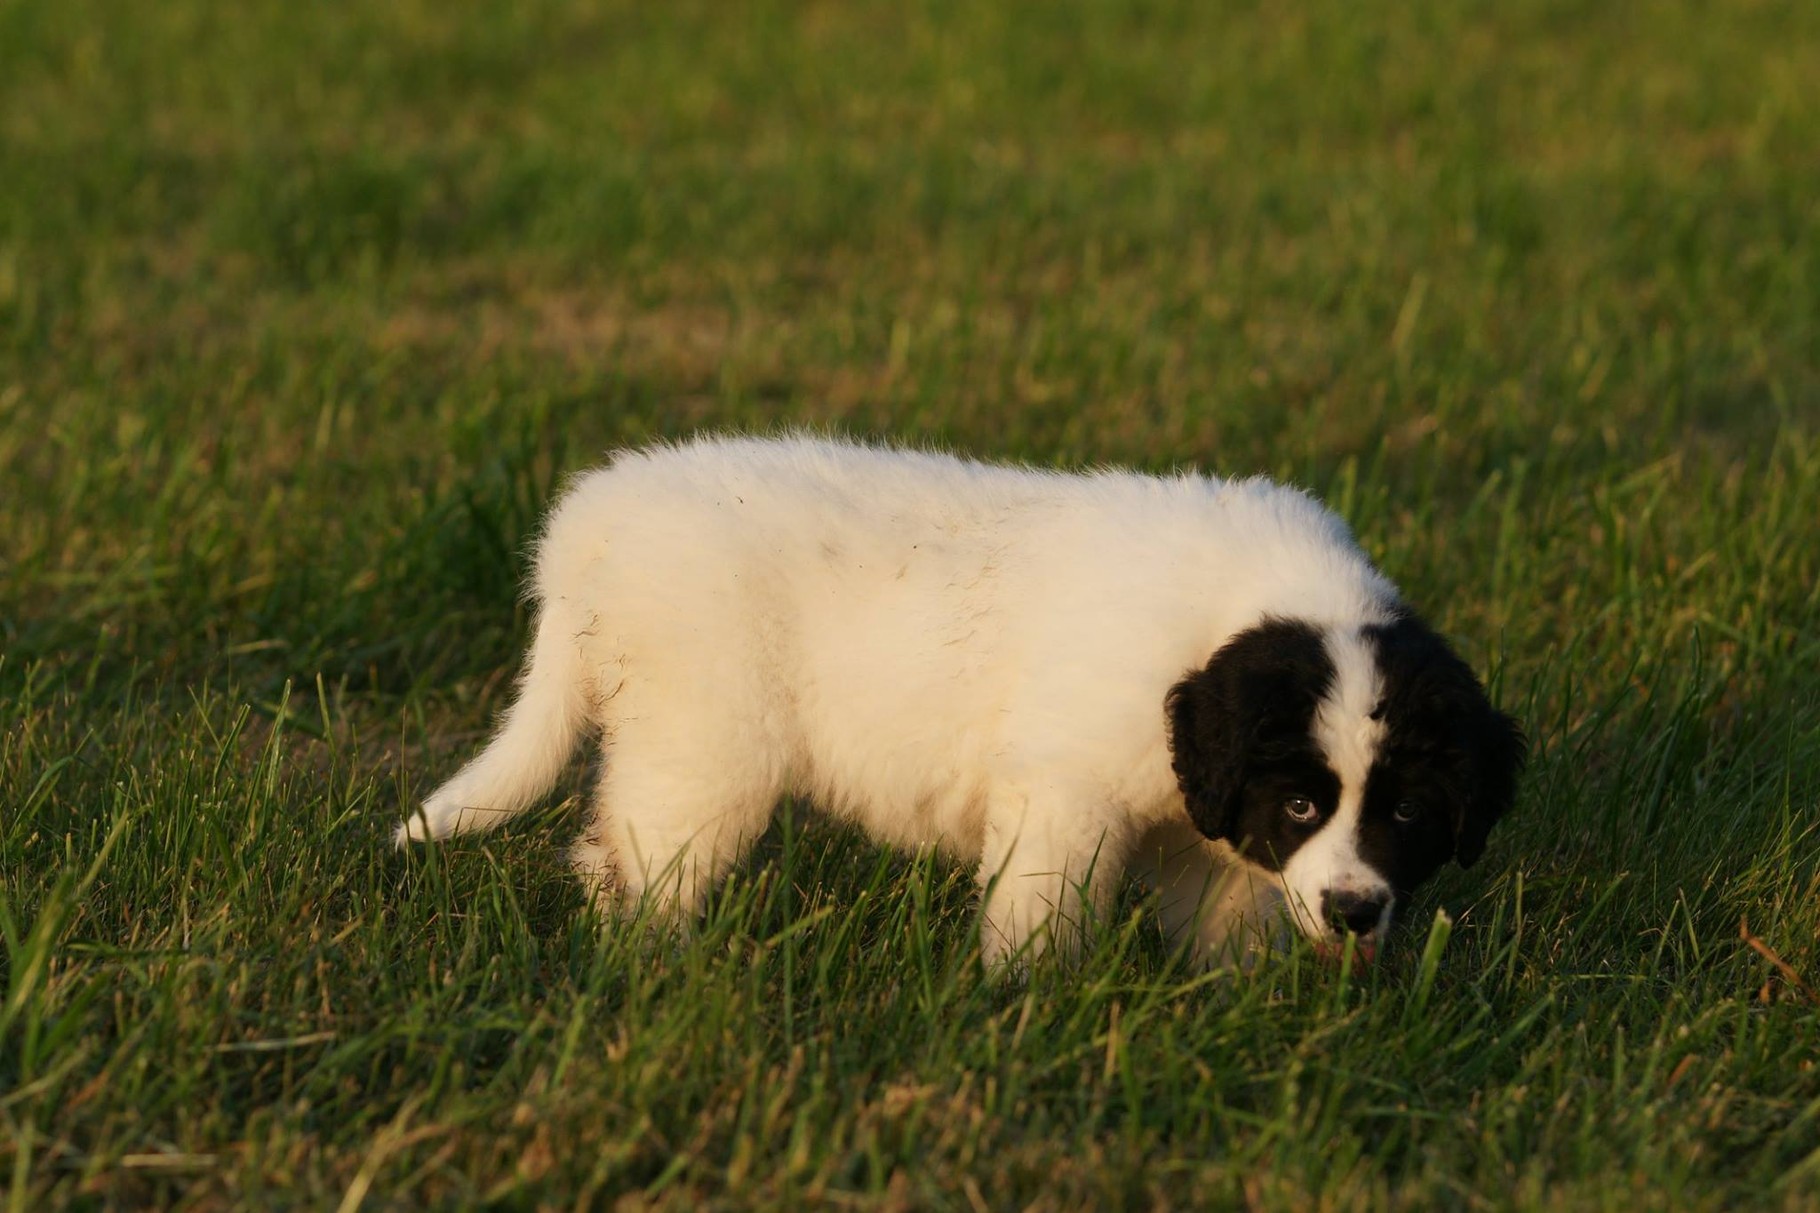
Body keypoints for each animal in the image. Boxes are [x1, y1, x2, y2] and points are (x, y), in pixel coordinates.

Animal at [394, 429, 1521, 968]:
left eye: (1406, 812)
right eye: (1301, 802)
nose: (1353, 911)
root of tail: (587, 525)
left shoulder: (1213, 826)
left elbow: (1225, 916)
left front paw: (1233, 1008)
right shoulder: (1065, 792)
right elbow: (1041, 909)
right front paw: (1025, 1001)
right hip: (705, 740)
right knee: (637, 858)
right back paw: (654, 963)